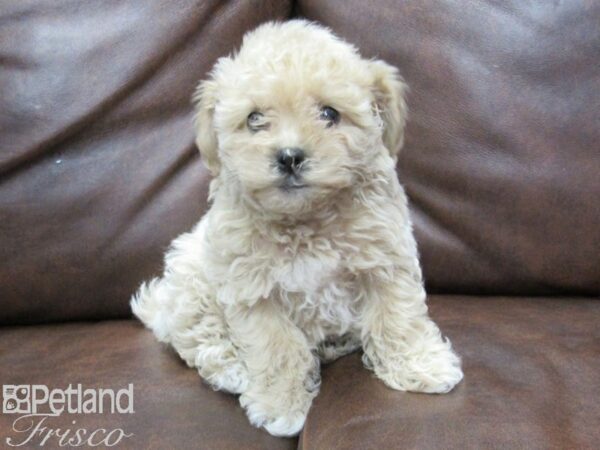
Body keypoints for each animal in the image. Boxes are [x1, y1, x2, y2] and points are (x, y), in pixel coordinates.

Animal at [131, 19, 462, 438]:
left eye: (329, 113)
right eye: (254, 119)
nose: (289, 156)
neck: (306, 222)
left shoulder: (385, 260)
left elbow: (398, 318)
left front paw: (421, 365)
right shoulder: (251, 290)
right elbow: (276, 349)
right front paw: (279, 404)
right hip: (192, 278)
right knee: (196, 337)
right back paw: (231, 369)